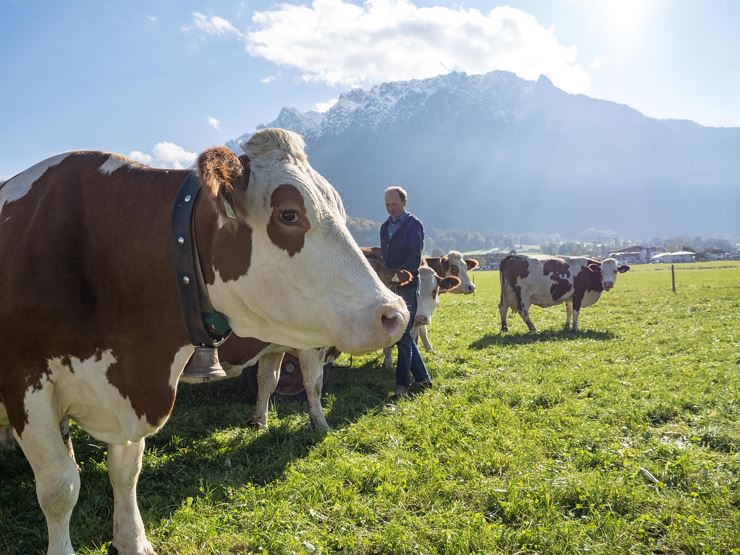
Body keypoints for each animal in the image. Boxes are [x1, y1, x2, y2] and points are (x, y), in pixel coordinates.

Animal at [0, 129, 410, 555]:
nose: (394, 313)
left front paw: (133, 540)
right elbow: (60, 487)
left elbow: (127, 472)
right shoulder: (27, 388)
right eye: (289, 215)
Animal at [498, 254, 632, 332]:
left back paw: (504, 328)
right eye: (601, 271)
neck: (587, 272)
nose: (608, 284)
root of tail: (513, 256)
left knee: (503, 308)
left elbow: (569, 310)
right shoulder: (578, 294)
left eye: (615, 271)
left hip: (506, 293)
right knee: (523, 311)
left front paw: (567, 326)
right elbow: (576, 311)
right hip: (523, 295)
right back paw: (533, 328)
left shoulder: (570, 296)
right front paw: (576, 328)